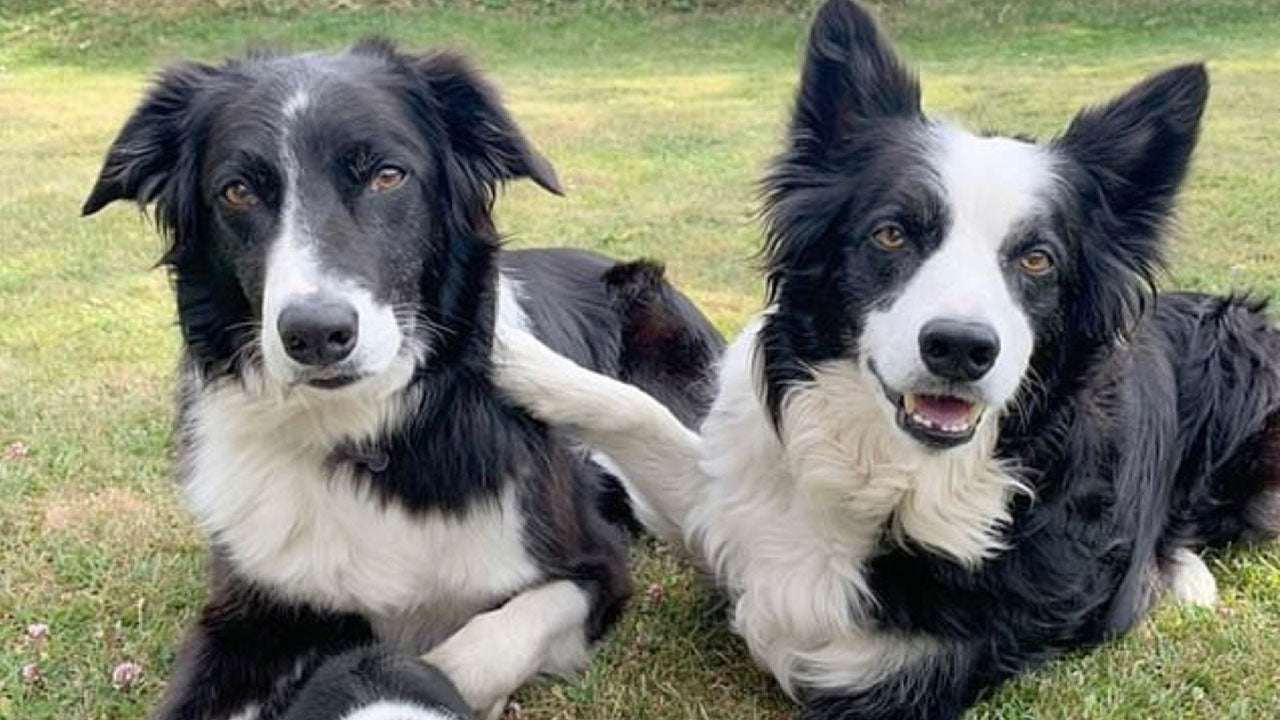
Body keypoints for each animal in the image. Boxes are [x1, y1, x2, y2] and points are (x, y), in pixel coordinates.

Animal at [82, 37, 721, 717]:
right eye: (236, 192)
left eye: (387, 176)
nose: (315, 334)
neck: (370, 440)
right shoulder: (247, 614)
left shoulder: (595, 568)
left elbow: (479, 649)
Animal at [486, 2, 1280, 712]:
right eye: (892, 234)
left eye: (1037, 260)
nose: (960, 347)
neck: (887, 463)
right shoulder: (729, 498)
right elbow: (639, 411)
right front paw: (511, 351)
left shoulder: (900, 663)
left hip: (1242, 350)